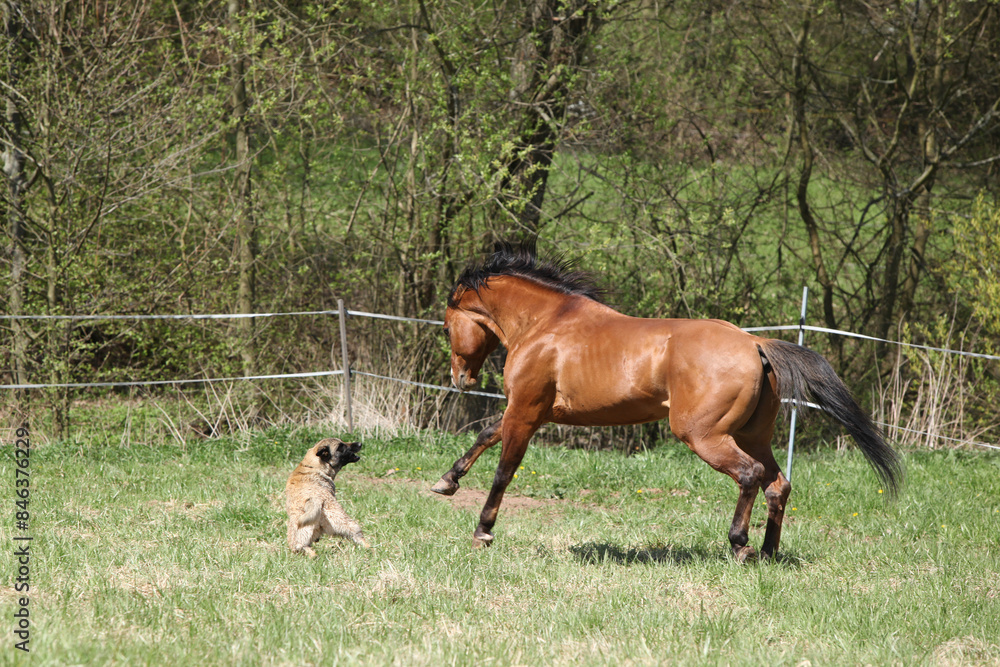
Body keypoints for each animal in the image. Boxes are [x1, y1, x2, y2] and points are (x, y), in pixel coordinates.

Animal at [431, 240, 901, 560]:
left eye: (447, 327)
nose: (460, 379)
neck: (546, 324)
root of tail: (755, 344)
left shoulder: (526, 412)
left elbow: (503, 471)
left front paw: (483, 531)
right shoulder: (528, 411)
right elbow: (486, 436)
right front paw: (446, 482)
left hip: (703, 435)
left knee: (749, 475)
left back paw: (740, 545)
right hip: (753, 436)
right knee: (777, 484)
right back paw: (768, 552)